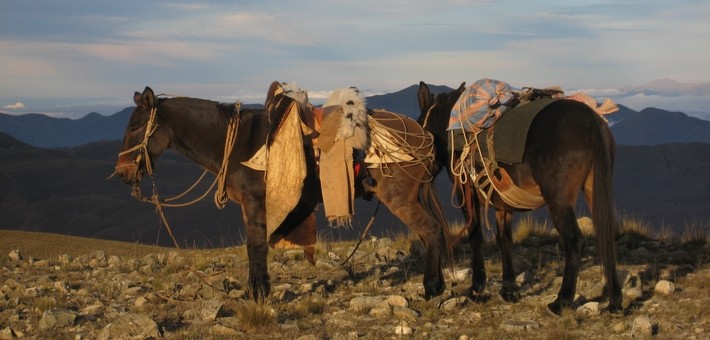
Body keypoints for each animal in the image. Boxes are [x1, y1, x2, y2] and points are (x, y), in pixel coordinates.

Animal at [114, 82, 454, 300]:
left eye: (135, 127)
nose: (122, 172)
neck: (237, 143)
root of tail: (422, 133)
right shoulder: (250, 206)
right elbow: (253, 246)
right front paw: (255, 291)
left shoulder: (255, 202)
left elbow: (256, 247)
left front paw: (258, 295)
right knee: (432, 233)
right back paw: (436, 284)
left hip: (400, 198)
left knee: (432, 230)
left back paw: (431, 288)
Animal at [420, 81, 620, 314]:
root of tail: (591, 121)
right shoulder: (502, 201)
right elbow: (504, 239)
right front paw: (508, 288)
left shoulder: (467, 197)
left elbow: (476, 238)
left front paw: (477, 288)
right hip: (594, 190)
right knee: (606, 235)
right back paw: (615, 301)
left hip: (559, 202)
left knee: (574, 242)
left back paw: (561, 301)